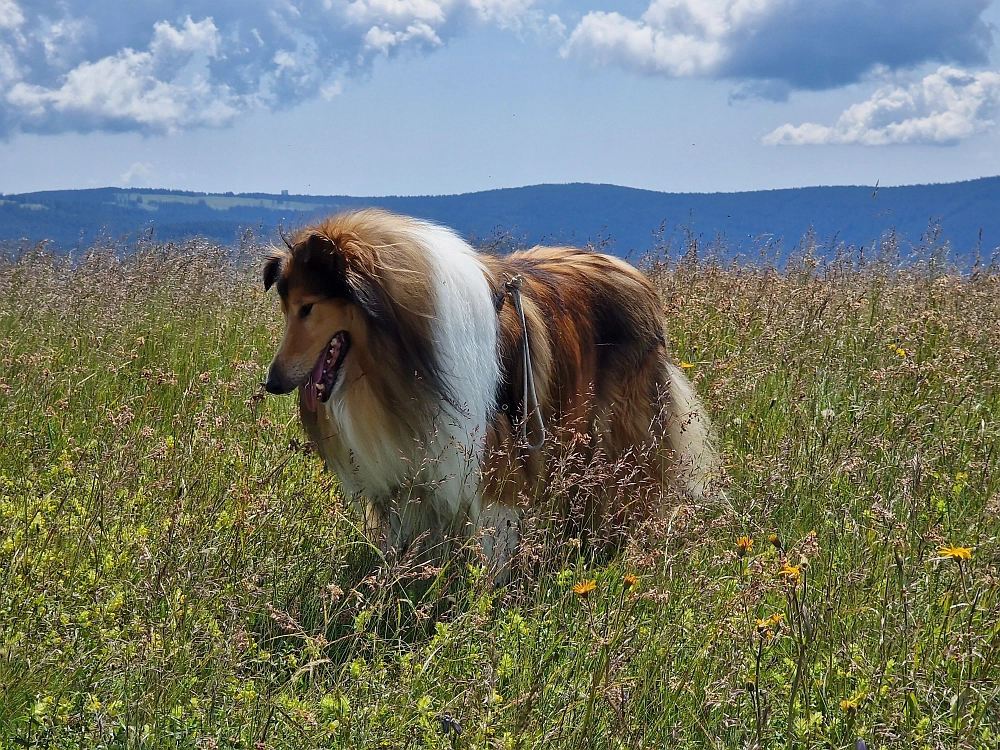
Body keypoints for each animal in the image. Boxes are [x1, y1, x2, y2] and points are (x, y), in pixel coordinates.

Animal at [264, 209, 720, 572]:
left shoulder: (493, 463)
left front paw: (482, 602)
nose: (272, 383)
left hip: (616, 437)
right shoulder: (411, 476)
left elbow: (492, 548)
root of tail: (637, 277)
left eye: (308, 308)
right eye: (286, 309)